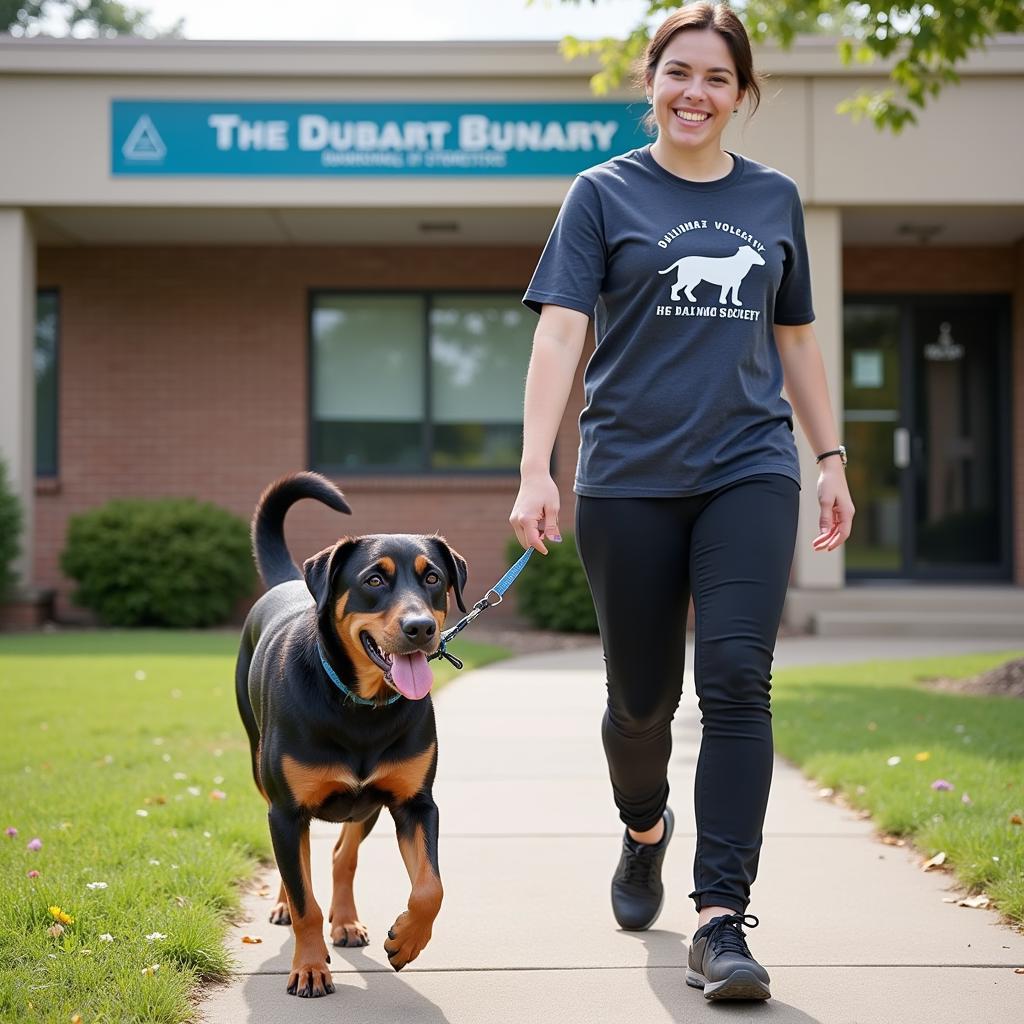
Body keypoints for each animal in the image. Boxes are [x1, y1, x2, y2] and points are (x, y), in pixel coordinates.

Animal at [234, 473, 468, 999]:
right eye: (373, 580)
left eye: (432, 579)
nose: (420, 627)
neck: (360, 707)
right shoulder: (287, 811)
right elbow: (305, 899)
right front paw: (309, 967)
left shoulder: (414, 803)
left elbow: (432, 887)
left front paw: (407, 939)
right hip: (262, 773)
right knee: (294, 866)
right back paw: (286, 909)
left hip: (368, 804)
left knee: (343, 855)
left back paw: (344, 922)